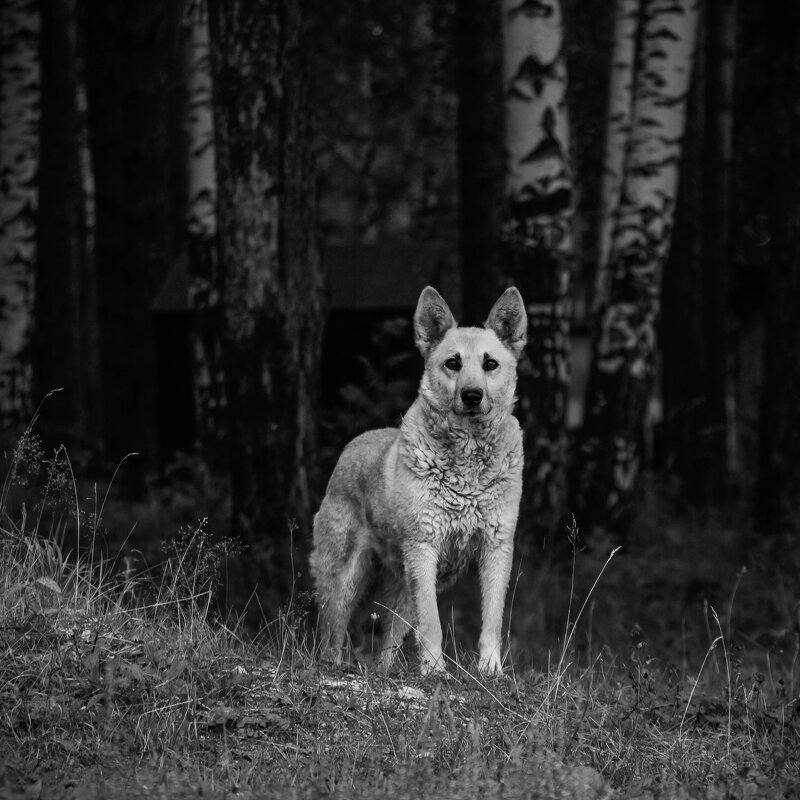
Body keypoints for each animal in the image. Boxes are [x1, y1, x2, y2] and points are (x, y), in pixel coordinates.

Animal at [310, 288, 528, 676]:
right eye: (453, 363)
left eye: (490, 364)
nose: (472, 396)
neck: (467, 463)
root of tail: (353, 444)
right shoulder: (424, 547)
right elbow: (432, 624)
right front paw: (435, 671)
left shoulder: (497, 547)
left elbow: (492, 619)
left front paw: (490, 670)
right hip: (346, 577)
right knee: (333, 629)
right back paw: (334, 665)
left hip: (405, 585)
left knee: (388, 638)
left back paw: (384, 671)